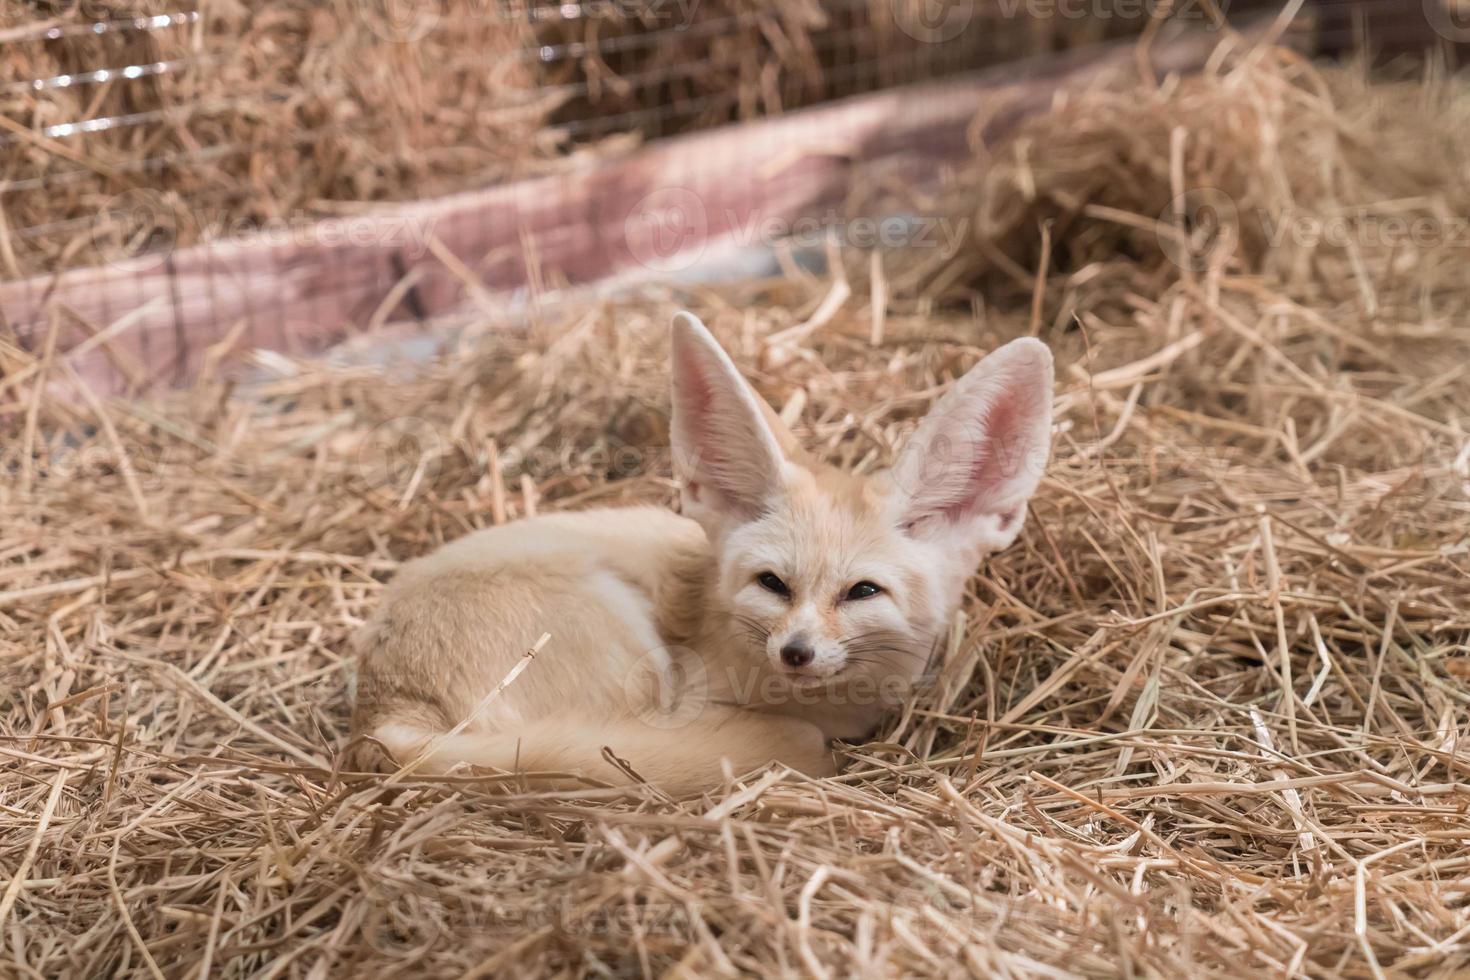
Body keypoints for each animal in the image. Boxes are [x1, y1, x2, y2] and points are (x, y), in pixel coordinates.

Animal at [349, 314, 1052, 799]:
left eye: (862, 592)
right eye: (772, 583)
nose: (795, 652)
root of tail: (382, 710)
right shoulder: (689, 699)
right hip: (622, 645)